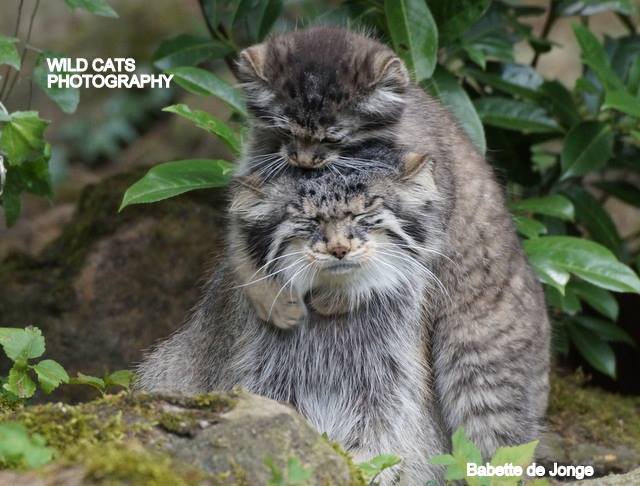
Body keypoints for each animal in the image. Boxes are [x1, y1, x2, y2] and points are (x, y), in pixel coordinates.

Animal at [140, 160, 450, 482]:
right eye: (308, 219)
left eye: (362, 214)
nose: (339, 249)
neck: (332, 306)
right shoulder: (265, 378)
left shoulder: (387, 381)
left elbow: (382, 435)